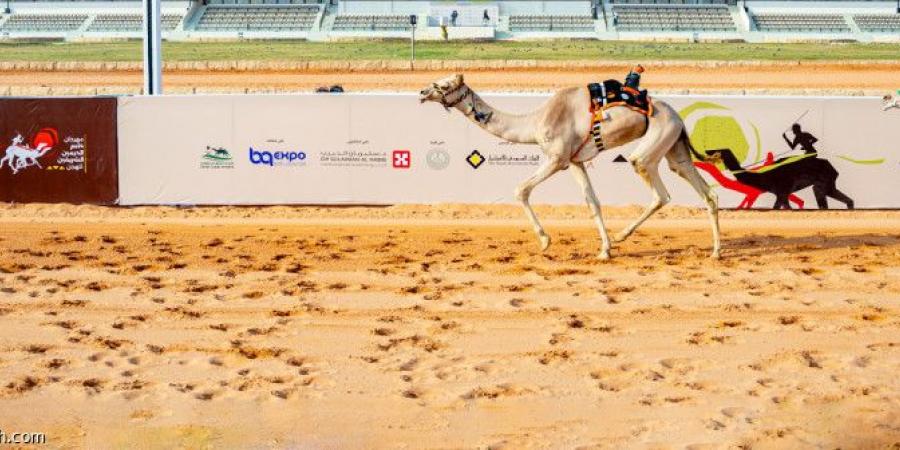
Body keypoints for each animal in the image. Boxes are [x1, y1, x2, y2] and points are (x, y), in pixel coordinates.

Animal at [418, 74, 720, 260]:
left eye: (444, 85)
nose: (422, 92)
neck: (534, 123)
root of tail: (678, 117)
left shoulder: (557, 159)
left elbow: (521, 190)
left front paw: (544, 241)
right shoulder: (575, 162)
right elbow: (592, 202)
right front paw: (605, 250)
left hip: (652, 145)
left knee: (658, 189)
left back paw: (623, 235)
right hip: (675, 147)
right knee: (704, 189)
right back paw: (715, 251)